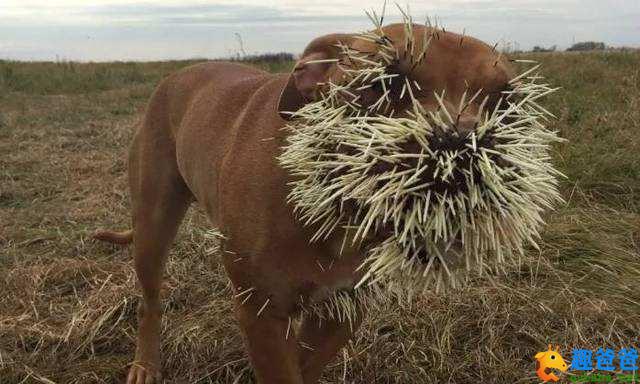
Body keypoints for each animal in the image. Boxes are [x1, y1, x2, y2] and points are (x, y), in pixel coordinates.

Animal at [96, 24, 516, 384]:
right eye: (385, 83)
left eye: (505, 102)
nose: (462, 146)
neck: (337, 209)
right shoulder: (261, 311)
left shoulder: (344, 309)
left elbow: (304, 365)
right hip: (153, 227)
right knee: (150, 302)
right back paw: (145, 364)